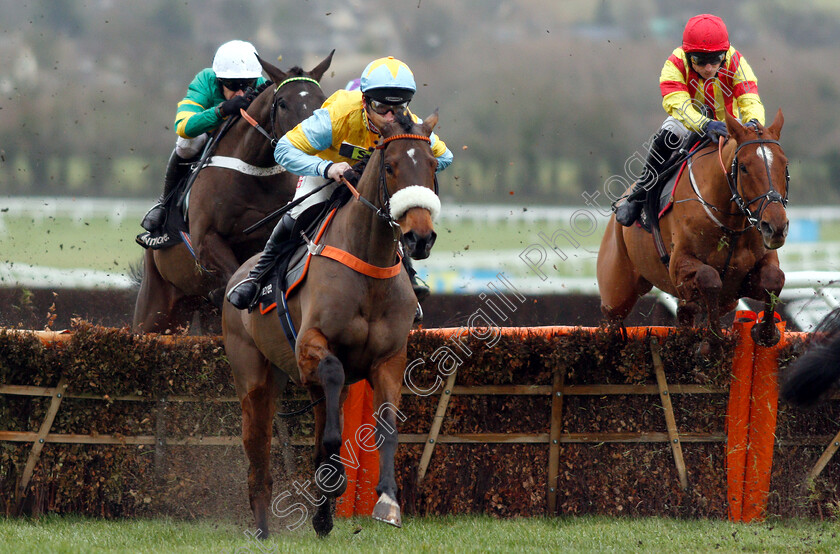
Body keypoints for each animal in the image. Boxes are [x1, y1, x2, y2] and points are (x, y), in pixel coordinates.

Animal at [131, 51, 332, 332]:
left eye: (322, 101)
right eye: (282, 103)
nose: (314, 146)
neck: (253, 171)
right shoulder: (206, 240)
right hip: (154, 308)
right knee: (187, 141)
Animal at [220, 111, 442, 536]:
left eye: (432, 165)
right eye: (390, 166)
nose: (420, 238)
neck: (369, 269)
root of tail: (236, 275)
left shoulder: (390, 359)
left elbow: (385, 426)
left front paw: (387, 501)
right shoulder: (311, 345)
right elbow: (335, 379)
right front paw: (338, 480)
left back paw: (322, 516)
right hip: (252, 378)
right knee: (258, 454)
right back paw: (263, 528)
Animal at [596, 108, 788, 344]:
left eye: (784, 164)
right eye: (743, 167)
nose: (776, 226)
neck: (731, 224)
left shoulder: (745, 279)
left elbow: (774, 278)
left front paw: (767, 332)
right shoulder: (679, 265)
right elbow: (709, 278)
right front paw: (713, 342)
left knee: (686, 314)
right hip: (616, 292)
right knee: (612, 322)